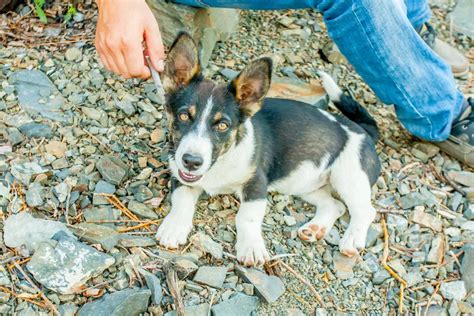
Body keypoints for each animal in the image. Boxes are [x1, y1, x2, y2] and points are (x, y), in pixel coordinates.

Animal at [156, 32, 382, 266]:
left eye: (223, 125)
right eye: (184, 115)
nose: (191, 162)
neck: (220, 162)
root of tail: (363, 131)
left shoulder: (256, 183)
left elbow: (247, 216)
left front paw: (251, 248)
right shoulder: (180, 176)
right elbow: (181, 200)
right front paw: (174, 228)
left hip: (349, 177)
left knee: (366, 210)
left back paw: (352, 239)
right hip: (305, 186)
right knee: (335, 205)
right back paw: (314, 229)